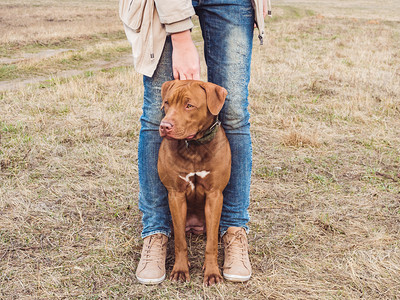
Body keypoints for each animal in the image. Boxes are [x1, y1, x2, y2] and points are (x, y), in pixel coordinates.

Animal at [157, 79, 231, 286]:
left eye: (189, 105)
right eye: (167, 103)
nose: (165, 126)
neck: (194, 148)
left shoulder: (214, 196)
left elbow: (211, 244)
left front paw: (212, 273)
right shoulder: (176, 195)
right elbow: (180, 242)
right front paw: (180, 270)